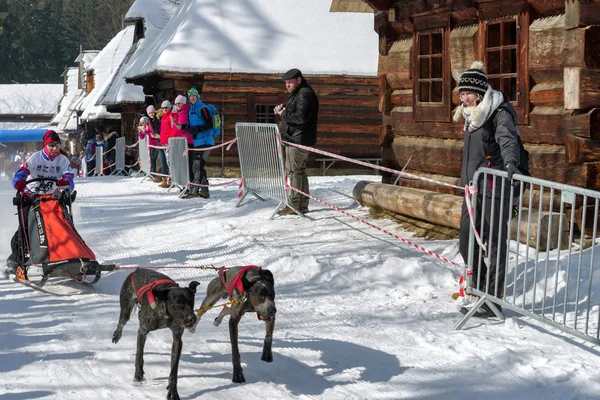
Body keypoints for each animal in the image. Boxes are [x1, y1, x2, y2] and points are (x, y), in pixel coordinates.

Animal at [110, 268, 199, 400]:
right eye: (178, 303)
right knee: (122, 322)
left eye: (191, 302)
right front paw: (138, 375)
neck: (165, 312)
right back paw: (116, 335)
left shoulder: (177, 339)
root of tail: (136, 270)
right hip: (126, 308)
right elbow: (139, 356)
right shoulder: (142, 331)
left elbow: (174, 370)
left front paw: (173, 390)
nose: (192, 319)